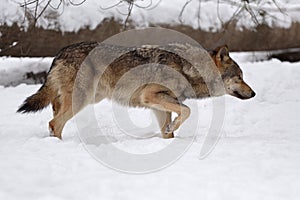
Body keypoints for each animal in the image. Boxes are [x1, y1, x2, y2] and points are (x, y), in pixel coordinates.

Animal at [17, 41, 255, 139]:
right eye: (240, 77)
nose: (253, 93)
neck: (189, 69)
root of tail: (61, 52)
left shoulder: (159, 106)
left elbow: (170, 130)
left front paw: (169, 134)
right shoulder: (150, 95)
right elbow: (187, 110)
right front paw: (172, 127)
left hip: (85, 98)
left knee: (54, 117)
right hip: (82, 100)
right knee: (54, 124)